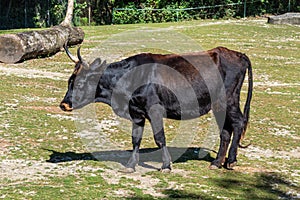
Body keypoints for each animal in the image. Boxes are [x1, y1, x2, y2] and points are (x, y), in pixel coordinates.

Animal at [61, 45, 253, 172]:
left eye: (80, 83)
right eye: (69, 81)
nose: (63, 104)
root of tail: (237, 54)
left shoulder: (154, 111)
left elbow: (159, 138)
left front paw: (166, 165)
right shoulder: (137, 113)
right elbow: (135, 139)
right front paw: (130, 165)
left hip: (228, 101)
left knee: (238, 123)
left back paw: (231, 161)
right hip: (219, 106)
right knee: (225, 131)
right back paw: (217, 162)